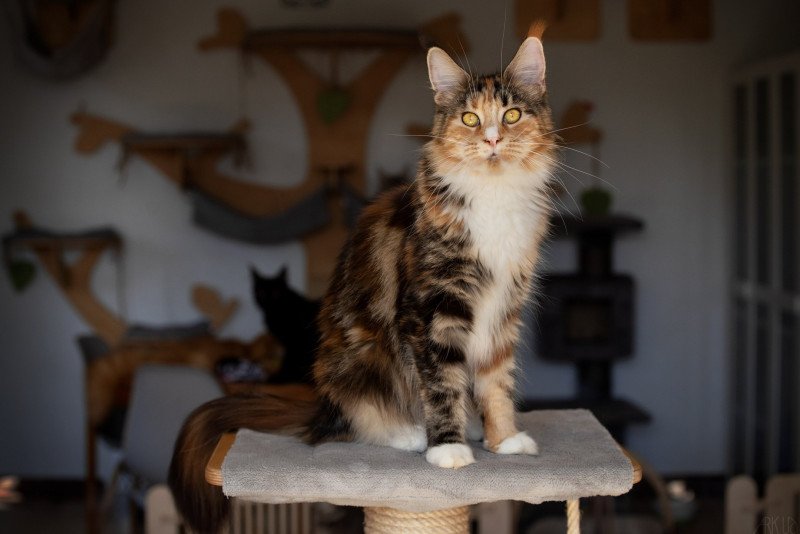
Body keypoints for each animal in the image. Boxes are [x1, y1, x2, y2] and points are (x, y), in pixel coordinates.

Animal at [169, 36, 556, 534]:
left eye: (511, 115)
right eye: (470, 119)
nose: (491, 140)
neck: (494, 197)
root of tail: (322, 406)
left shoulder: (504, 309)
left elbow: (496, 383)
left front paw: (505, 439)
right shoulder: (431, 309)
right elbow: (441, 384)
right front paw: (448, 449)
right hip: (361, 360)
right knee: (360, 421)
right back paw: (412, 435)